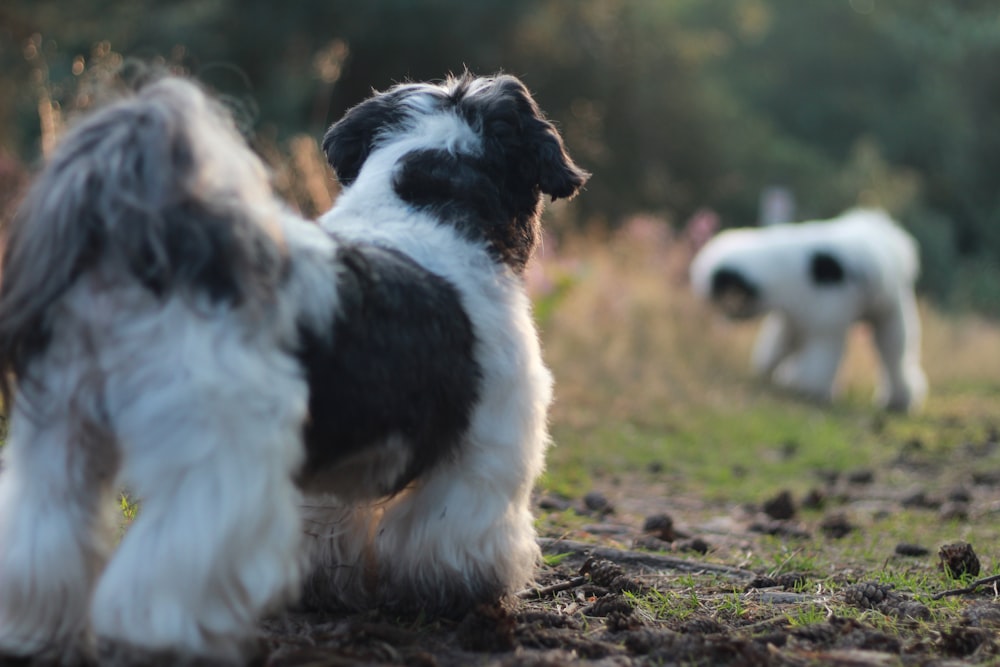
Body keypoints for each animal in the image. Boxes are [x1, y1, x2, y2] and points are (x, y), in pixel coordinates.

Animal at [0, 72, 584, 664]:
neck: (425, 212)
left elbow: (324, 524)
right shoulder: (487, 445)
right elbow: (454, 531)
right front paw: (459, 590)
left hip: (61, 439)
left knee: (42, 537)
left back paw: (36, 630)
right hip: (217, 458)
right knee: (172, 566)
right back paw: (168, 637)